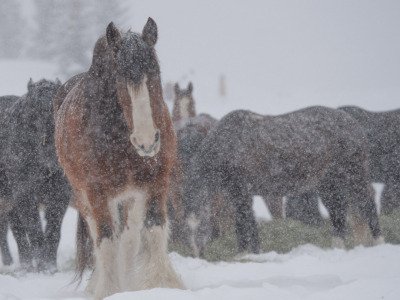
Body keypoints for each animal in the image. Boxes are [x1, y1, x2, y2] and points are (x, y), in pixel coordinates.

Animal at [0, 78, 71, 270]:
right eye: (33, 107)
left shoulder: (60, 196)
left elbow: (53, 232)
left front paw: (50, 266)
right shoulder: (24, 195)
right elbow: (34, 232)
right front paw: (41, 266)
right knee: (16, 233)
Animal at [54, 18, 184, 298]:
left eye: (155, 72)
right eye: (121, 77)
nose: (147, 141)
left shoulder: (156, 183)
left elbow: (153, 230)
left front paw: (159, 284)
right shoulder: (96, 192)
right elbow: (105, 239)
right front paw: (109, 290)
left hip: (131, 196)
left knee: (130, 236)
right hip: (85, 196)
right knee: (100, 234)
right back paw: (99, 284)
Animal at [184, 106, 384, 256]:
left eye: (202, 226)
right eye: (186, 230)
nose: (197, 254)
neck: (229, 145)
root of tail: (352, 122)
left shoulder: (242, 192)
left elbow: (247, 222)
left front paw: (250, 254)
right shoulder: (235, 194)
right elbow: (244, 223)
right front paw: (246, 254)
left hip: (355, 176)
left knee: (368, 205)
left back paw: (378, 241)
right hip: (328, 183)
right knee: (338, 212)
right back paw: (337, 248)